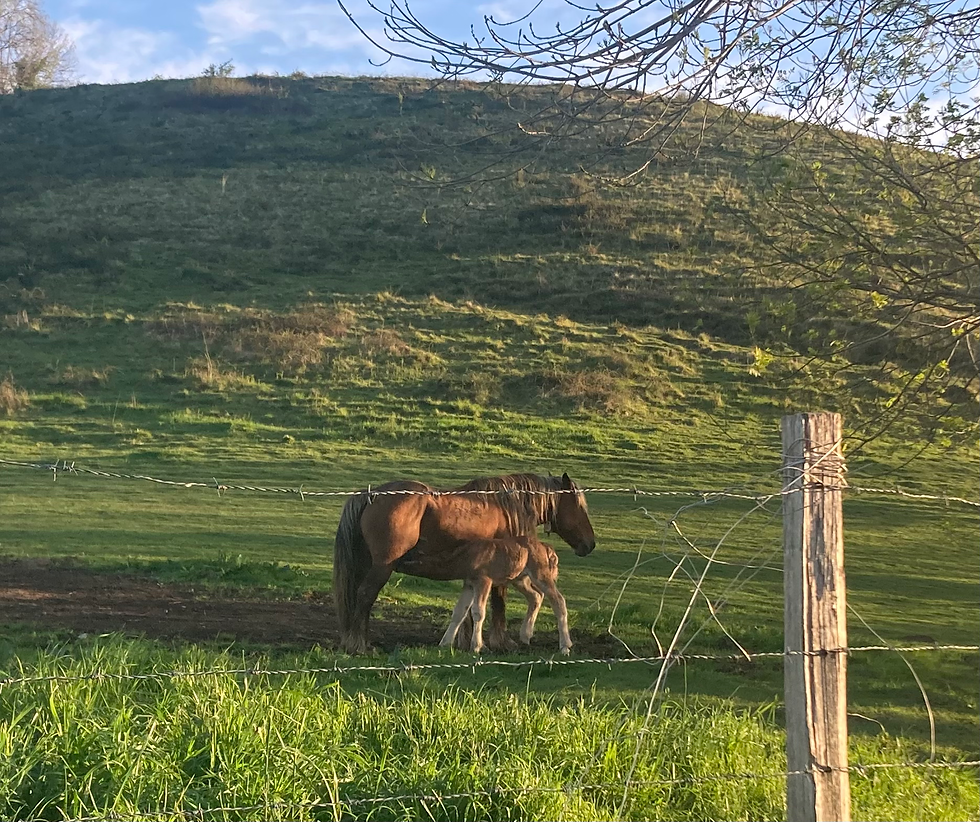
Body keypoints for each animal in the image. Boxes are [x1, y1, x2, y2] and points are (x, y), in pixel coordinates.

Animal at [407, 535, 571, 655]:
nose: (403, 558)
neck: (466, 557)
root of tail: (547, 548)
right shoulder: (469, 583)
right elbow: (459, 612)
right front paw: (444, 643)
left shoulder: (483, 580)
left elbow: (478, 612)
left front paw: (477, 646)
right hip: (520, 579)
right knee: (536, 596)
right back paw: (525, 635)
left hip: (540, 574)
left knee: (558, 600)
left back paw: (565, 646)